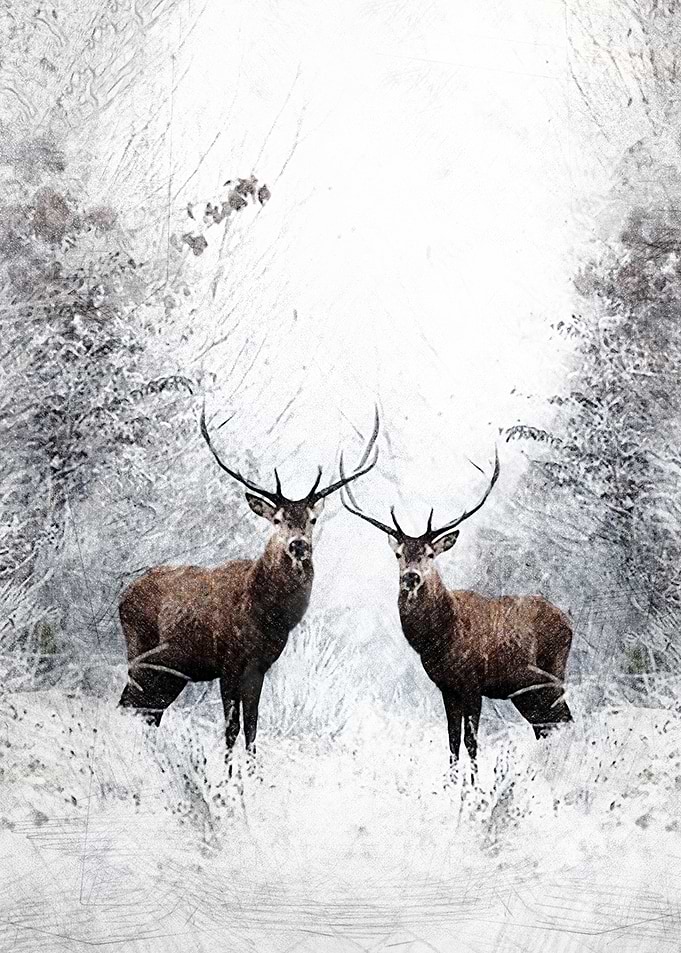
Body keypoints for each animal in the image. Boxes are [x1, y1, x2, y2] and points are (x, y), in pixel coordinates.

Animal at [118, 405, 379, 766]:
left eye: (312, 519)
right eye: (277, 519)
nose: (299, 545)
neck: (265, 614)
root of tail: (122, 596)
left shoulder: (259, 666)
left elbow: (253, 728)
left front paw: (252, 773)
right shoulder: (228, 661)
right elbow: (231, 729)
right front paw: (229, 777)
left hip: (173, 669)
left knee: (148, 709)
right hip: (140, 647)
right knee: (130, 702)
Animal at [340, 449, 573, 780]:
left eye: (430, 554)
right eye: (399, 554)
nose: (411, 577)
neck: (441, 639)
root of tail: (568, 620)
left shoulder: (473, 683)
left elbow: (471, 741)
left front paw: (473, 786)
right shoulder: (447, 687)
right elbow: (451, 741)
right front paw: (451, 784)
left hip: (553, 672)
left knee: (563, 720)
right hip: (524, 690)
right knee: (546, 725)